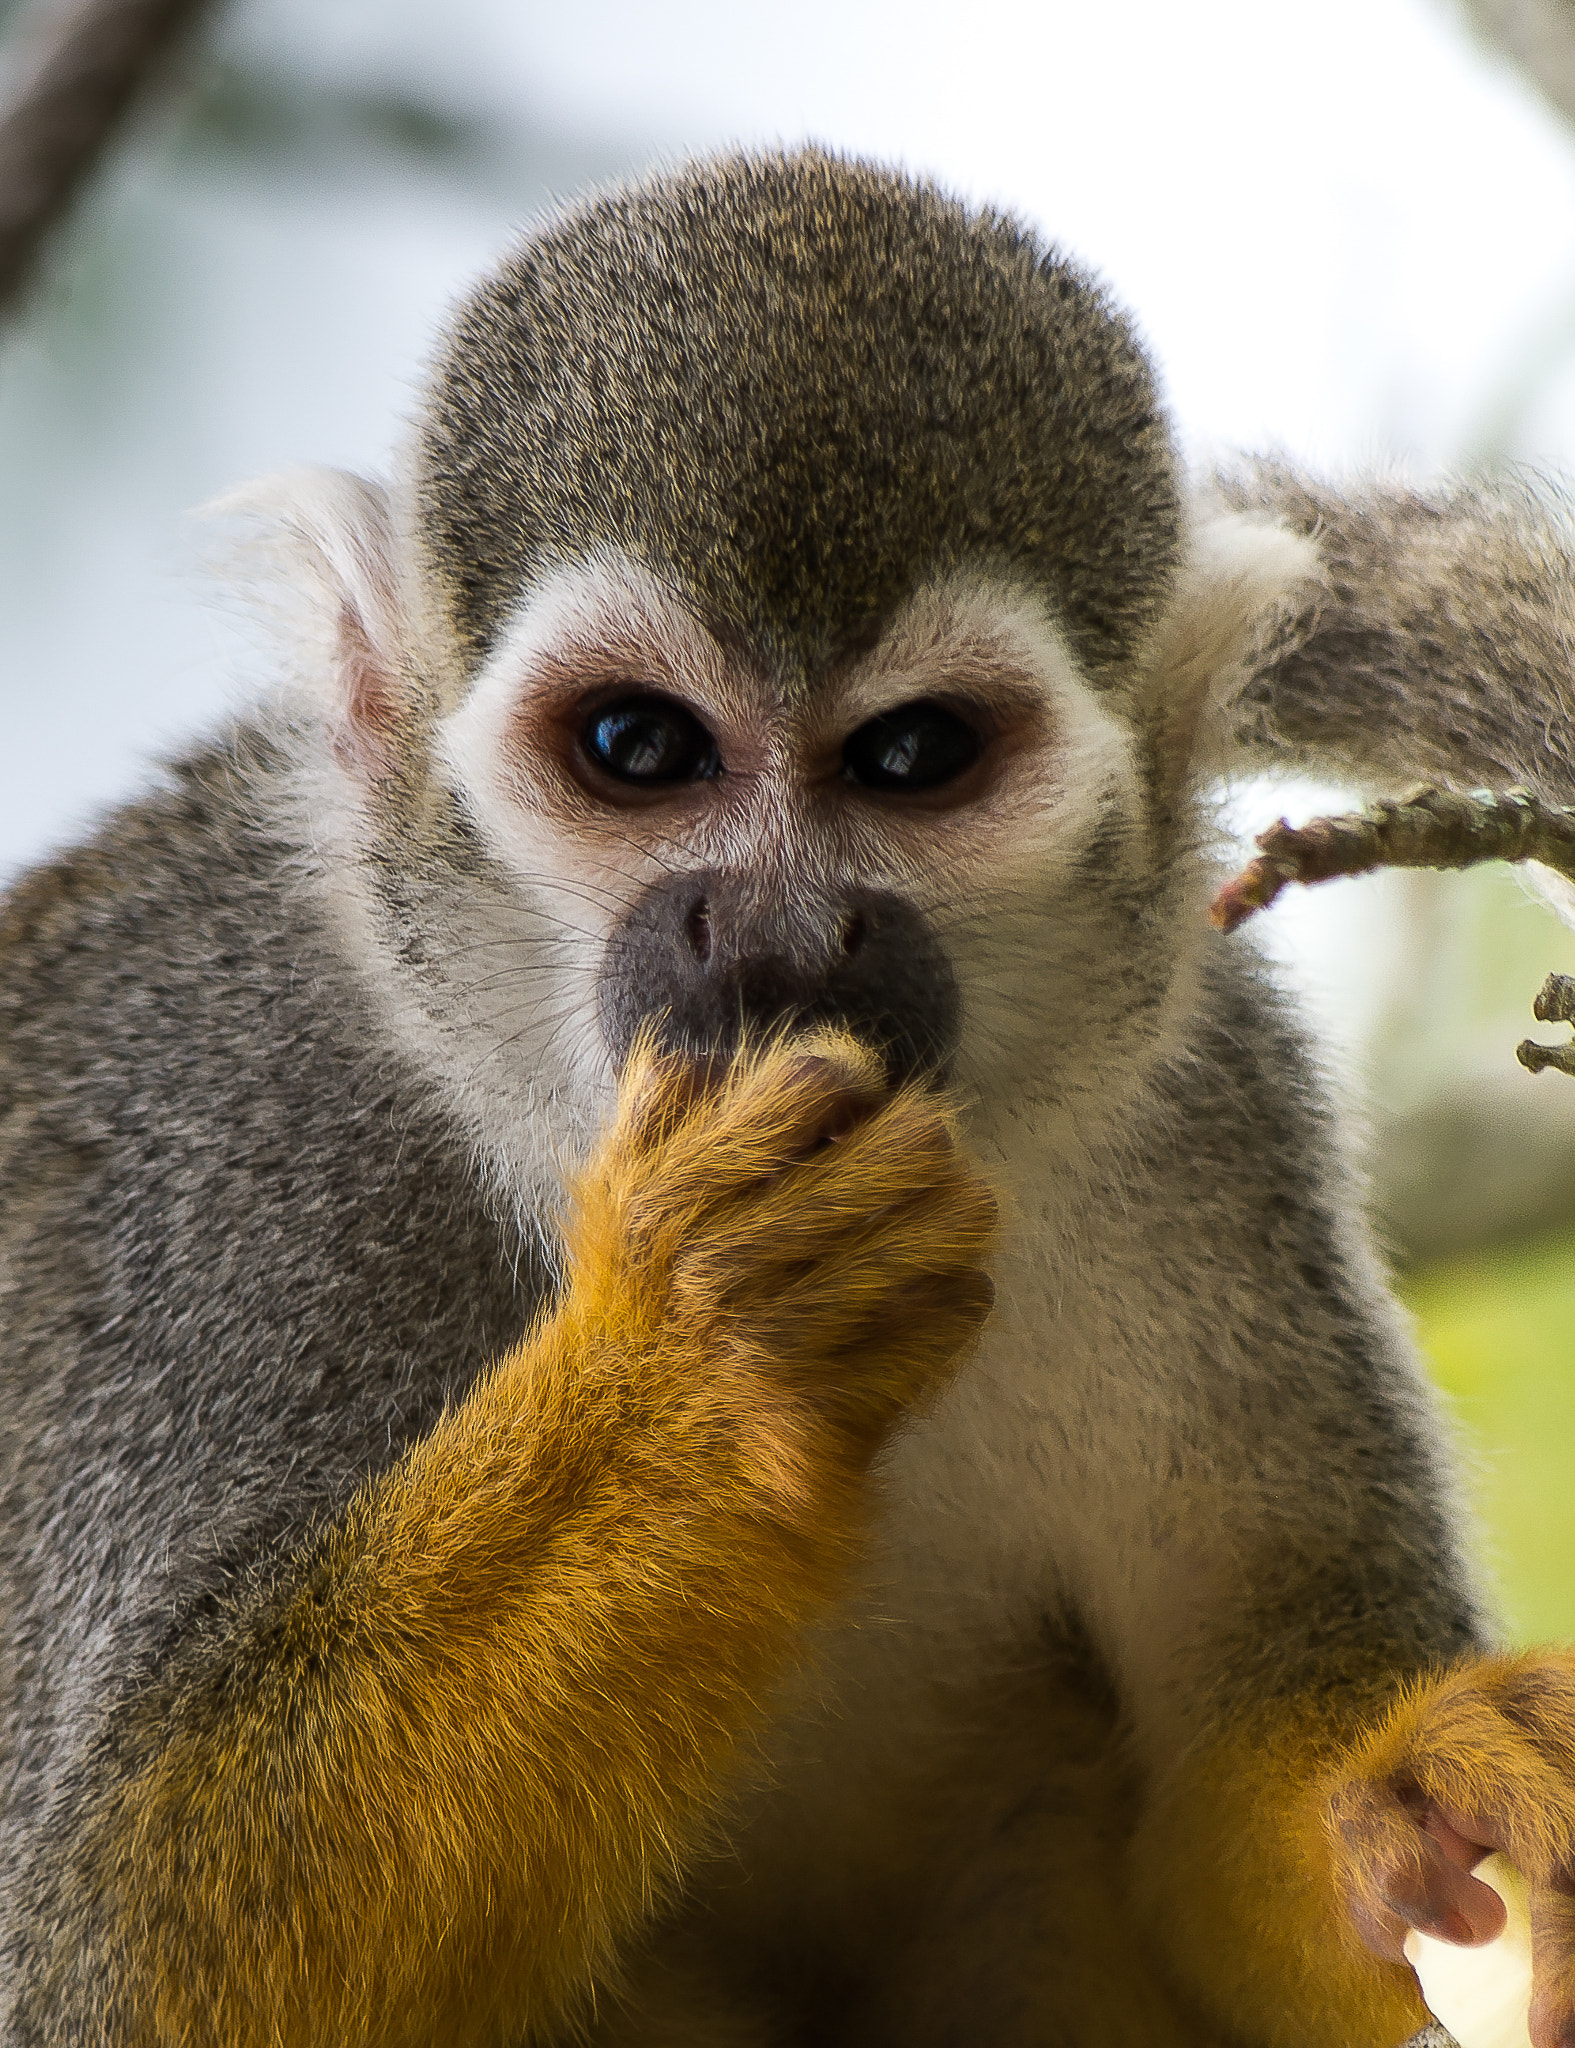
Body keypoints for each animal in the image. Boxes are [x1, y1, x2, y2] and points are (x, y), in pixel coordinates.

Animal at [3, 148, 1572, 2048]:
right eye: (638, 748)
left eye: (911, 757)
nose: (776, 931)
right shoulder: (233, 1126)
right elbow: (122, 1936)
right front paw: (714, 1343)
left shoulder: (1205, 1122)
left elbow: (1228, 1853)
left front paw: (1410, 1779)